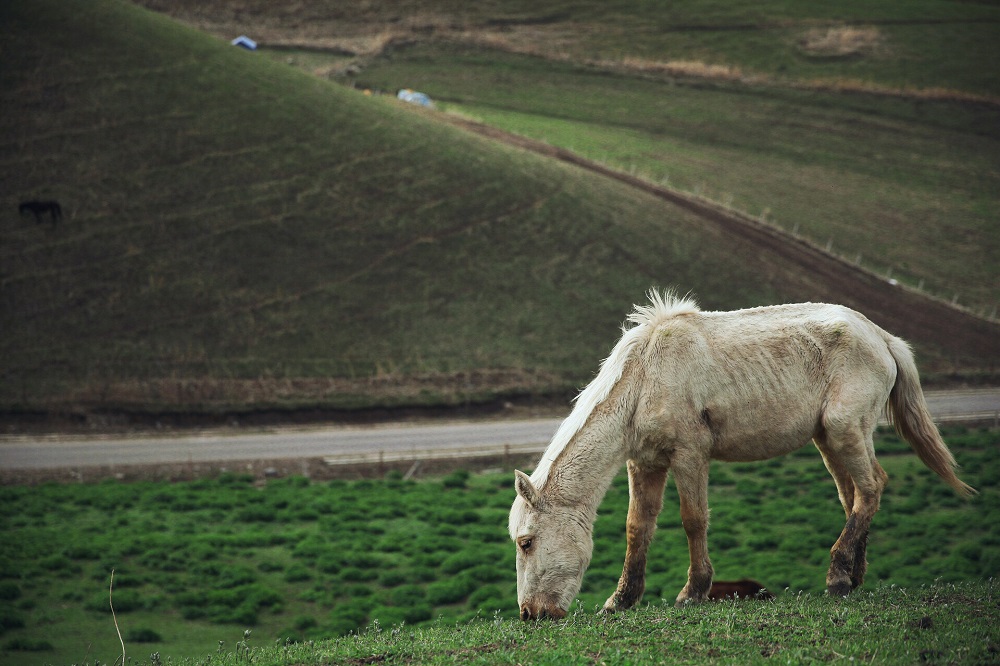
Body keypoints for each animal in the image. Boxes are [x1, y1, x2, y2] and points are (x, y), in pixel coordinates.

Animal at [512, 290, 972, 616]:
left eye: (526, 542)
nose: (531, 614)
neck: (644, 377)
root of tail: (882, 337)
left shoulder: (689, 454)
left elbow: (693, 520)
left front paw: (692, 592)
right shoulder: (644, 463)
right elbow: (637, 528)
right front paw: (621, 600)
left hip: (846, 429)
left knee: (872, 487)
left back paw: (838, 577)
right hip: (831, 438)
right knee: (856, 495)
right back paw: (854, 576)